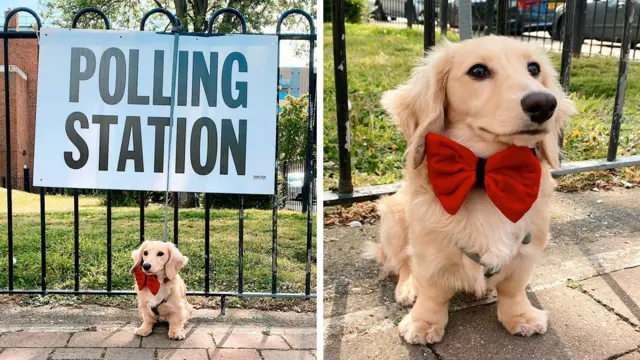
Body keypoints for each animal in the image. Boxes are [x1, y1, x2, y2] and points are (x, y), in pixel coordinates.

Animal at [368, 35, 576, 344]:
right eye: (478, 71)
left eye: (533, 68)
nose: (543, 103)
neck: (485, 175)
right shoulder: (429, 249)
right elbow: (432, 290)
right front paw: (423, 322)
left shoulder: (527, 247)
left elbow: (514, 287)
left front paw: (520, 315)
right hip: (393, 217)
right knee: (402, 263)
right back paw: (408, 288)